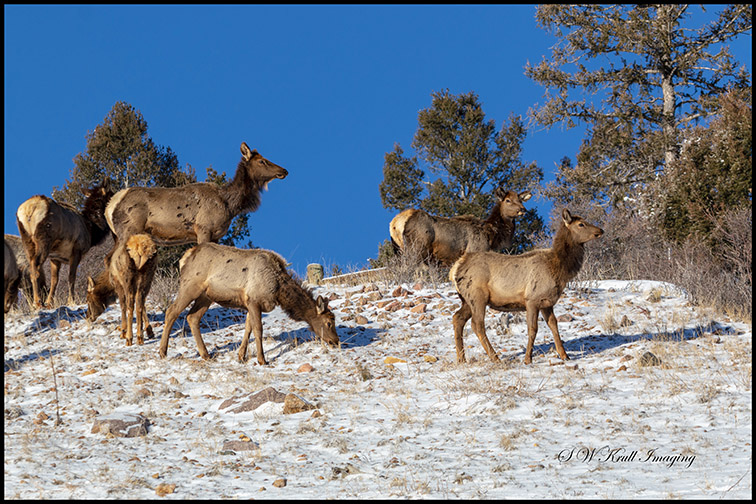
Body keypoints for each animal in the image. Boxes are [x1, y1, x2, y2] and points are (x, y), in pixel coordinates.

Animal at [105, 142, 288, 247]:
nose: (284, 170)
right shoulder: (203, 228)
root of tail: (109, 207)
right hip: (128, 230)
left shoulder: (216, 236)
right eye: (262, 161)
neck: (230, 205)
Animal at [159, 243, 340, 364]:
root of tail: (185, 258)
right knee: (171, 311)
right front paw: (262, 360)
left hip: (206, 296)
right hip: (190, 286)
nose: (336, 341)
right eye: (329, 322)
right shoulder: (254, 300)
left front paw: (241, 356)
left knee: (192, 317)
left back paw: (206, 354)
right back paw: (163, 352)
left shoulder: (249, 303)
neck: (278, 290)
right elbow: (258, 330)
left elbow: (248, 329)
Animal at [389, 188, 532, 267]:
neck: (492, 235)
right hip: (415, 249)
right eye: (508, 200)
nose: (523, 210)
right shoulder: (474, 249)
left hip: (399, 250)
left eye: (521, 200)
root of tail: (395, 223)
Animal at [450, 209, 604, 365]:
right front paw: (527, 359)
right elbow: (533, 329)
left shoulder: (547, 302)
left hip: (466, 300)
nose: (600, 230)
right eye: (581, 224)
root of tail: (457, 267)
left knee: (457, 318)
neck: (559, 268)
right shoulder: (532, 299)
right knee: (477, 325)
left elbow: (554, 326)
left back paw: (461, 358)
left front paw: (564, 355)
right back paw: (495, 358)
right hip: (477, 296)